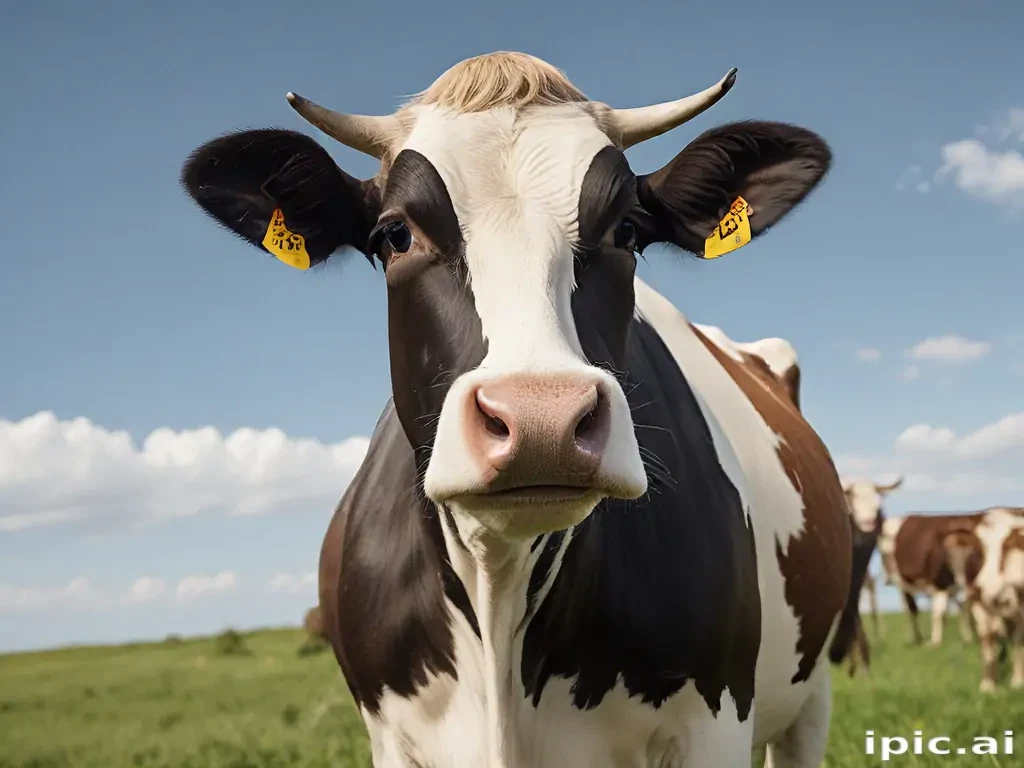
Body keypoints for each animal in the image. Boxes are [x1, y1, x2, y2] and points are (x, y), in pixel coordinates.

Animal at [180, 51, 850, 768]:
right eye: (395, 235)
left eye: (628, 230)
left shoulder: (713, 723)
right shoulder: (389, 735)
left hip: (811, 694)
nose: (541, 421)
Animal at [966, 507, 1024, 692]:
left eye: (1007, 546)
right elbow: (987, 642)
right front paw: (988, 686)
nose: (986, 587)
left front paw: (1018, 682)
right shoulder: (978, 604)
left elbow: (1018, 643)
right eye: (978, 548)